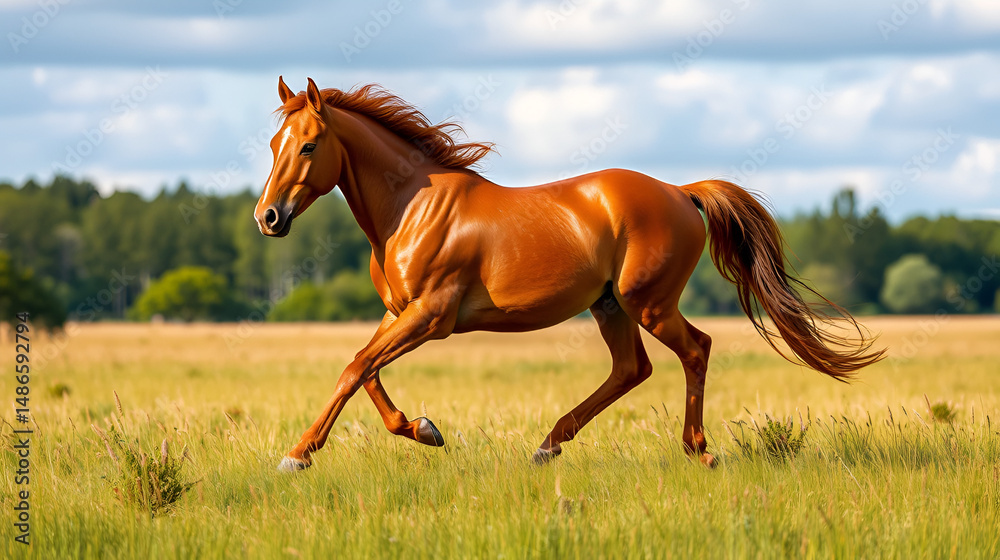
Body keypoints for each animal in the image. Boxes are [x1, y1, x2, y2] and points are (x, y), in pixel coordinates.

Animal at [255, 77, 884, 472]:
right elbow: (365, 372)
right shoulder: (398, 313)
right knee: (633, 368)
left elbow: (354, 368)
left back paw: (698, 449)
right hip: (610, 306)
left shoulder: (431, 317)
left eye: (309, 145)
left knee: (695, 350)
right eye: (274, 143)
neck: (411, 208)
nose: (268, 217)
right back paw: (548, 446)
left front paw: (297, 455)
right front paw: (424, 429)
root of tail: (681, 192)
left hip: (647, 302)